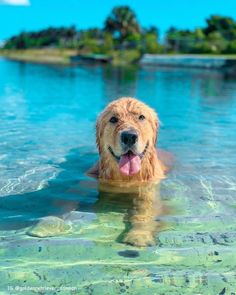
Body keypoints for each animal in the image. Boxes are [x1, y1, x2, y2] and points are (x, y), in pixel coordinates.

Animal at [87, 97, 172, 247]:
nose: (129, 136)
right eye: (113, 119)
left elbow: (144, 212)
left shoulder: (148, 192)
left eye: (141, 117)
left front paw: (139, 235)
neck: (128, 179)